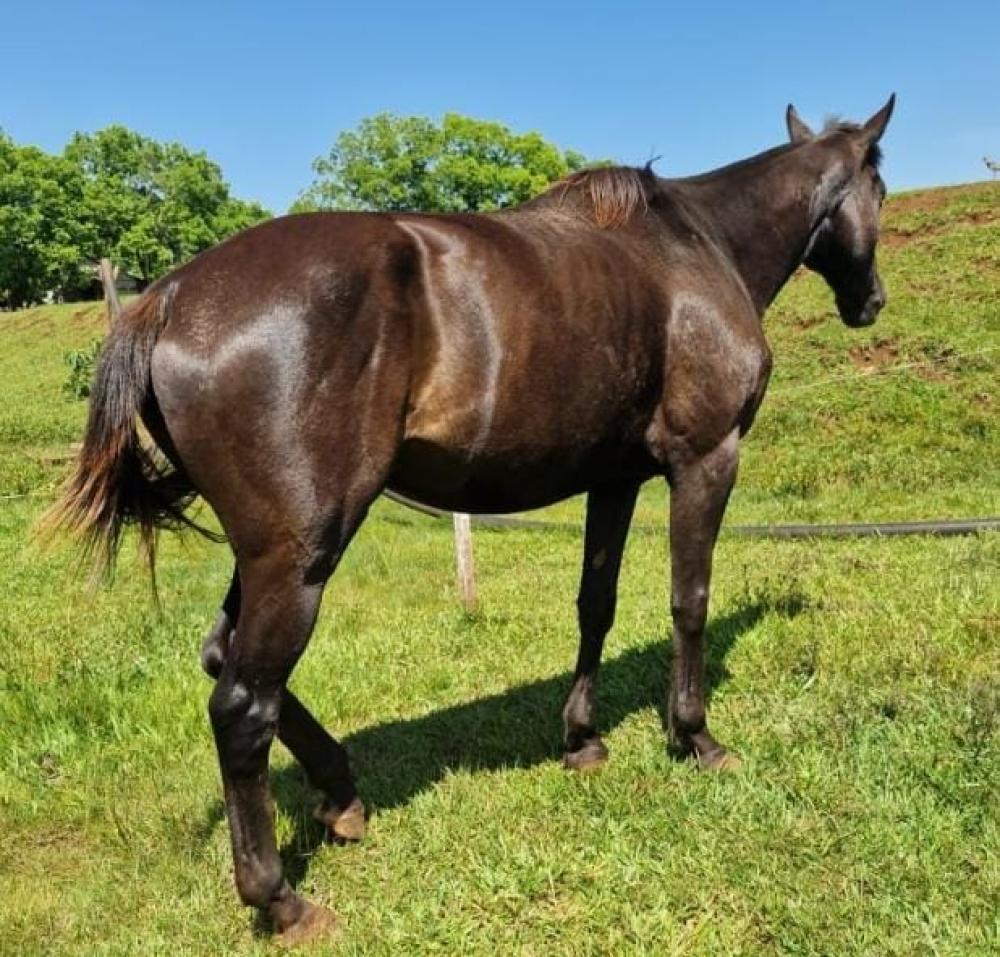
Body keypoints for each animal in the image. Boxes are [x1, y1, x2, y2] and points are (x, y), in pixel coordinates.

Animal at [52, 96, 895, 943]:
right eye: (880, 189)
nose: (872, 302)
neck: (695, 247)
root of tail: (169, 298)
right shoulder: (706, 459)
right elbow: (688, 601)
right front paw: (695, 736)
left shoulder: (614, 479)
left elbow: (595, 604)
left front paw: (581, 738)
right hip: (300, 555)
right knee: (240, 705)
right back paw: (280, 897)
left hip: (265, 553)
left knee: (220, 655)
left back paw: (341, 792)